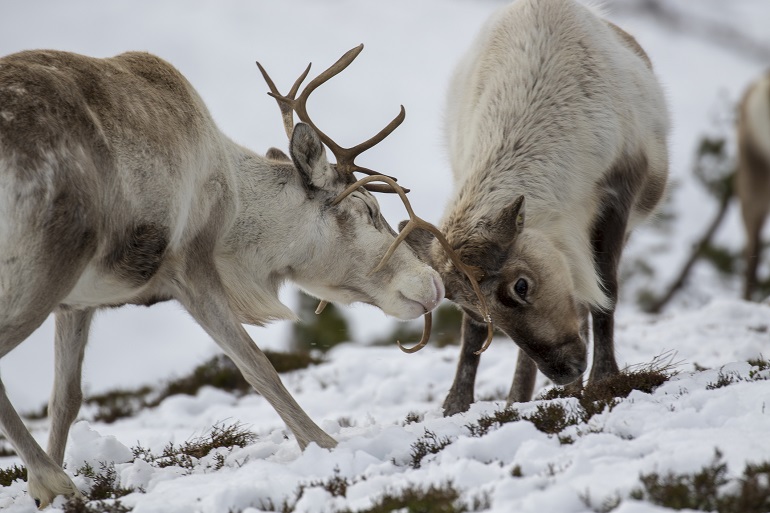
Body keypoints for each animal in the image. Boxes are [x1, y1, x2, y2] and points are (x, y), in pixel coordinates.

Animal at [0, 45, 493, 508]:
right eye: (368, 208)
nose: (432, 284)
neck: (236, 211)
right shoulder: (191, 267)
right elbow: (258, 367)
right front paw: (325, 444)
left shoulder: (77, 301)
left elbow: (66, 398)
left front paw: (43, 494)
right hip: (42, 271)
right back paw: (52, 480)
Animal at [400, 0, 669, 415]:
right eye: (473, 308)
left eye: (521, 285)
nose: (563, 369)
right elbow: (471, 338)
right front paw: (456, 403)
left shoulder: (616, 197)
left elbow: (606, 293)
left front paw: (604, 378)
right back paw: (524, 396)